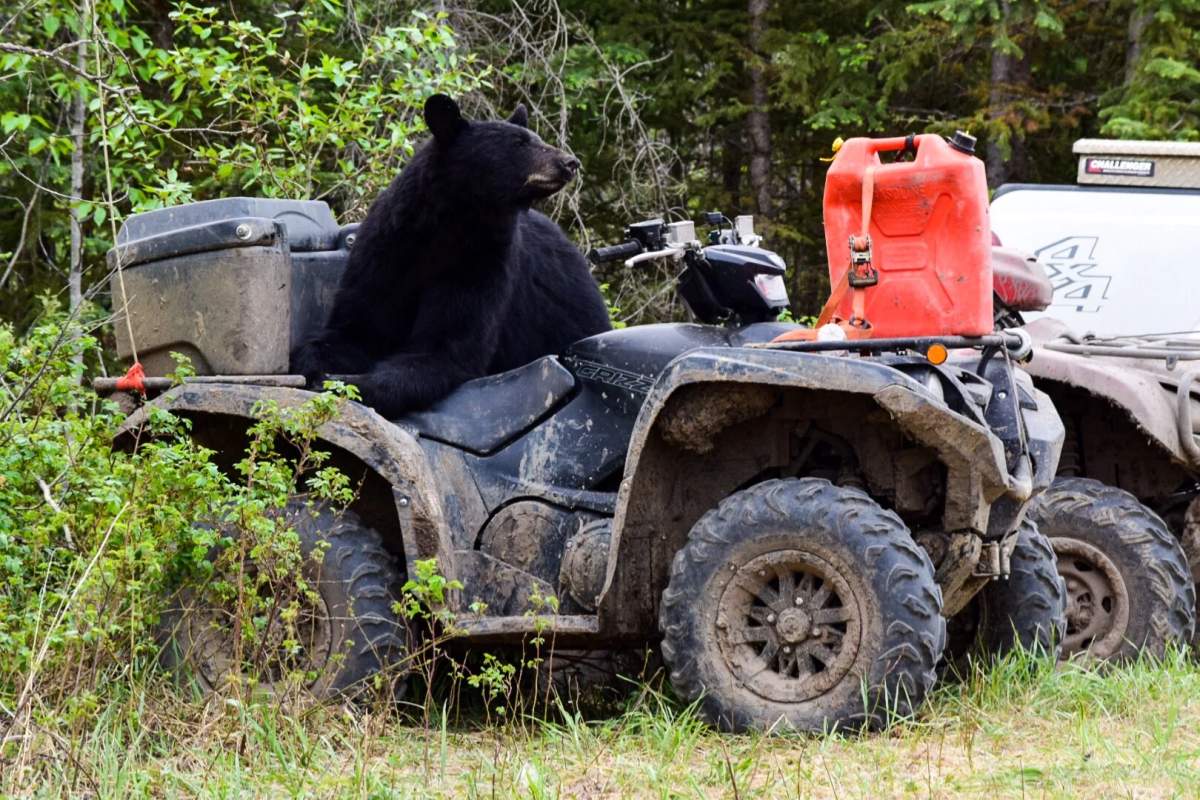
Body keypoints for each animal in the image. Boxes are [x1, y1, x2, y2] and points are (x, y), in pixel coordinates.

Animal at [291, 94, 612, 418]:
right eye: (519, 143)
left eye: (536, 139)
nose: (570, 162)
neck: (451, 222)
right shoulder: (386, 252)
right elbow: (356, 327)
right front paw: (314, 366)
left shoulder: (480, 261)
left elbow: (445, 349)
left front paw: (351, 383)